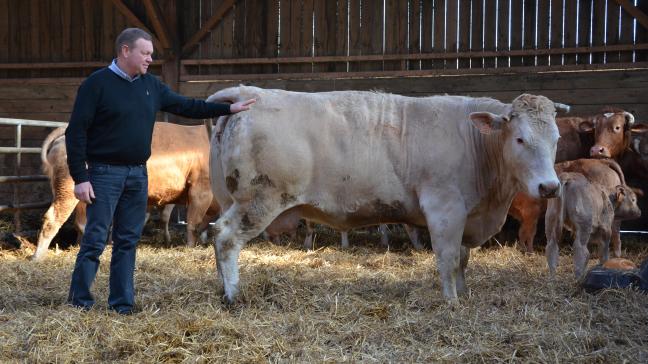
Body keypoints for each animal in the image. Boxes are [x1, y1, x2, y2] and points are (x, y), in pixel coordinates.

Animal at [32, 123, 220, 260]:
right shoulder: (201, 190)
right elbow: (193, 224)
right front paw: (190, 247)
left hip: (83, 195)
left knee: (82, 222)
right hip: (68, 188)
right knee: (52, 218)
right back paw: (37, 257)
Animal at [209, 86, 568, 302]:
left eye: (557, 138)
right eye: (520, 139)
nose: (549, 187)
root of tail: (249, 91)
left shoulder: (467, 214)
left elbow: (463, 259)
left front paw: (464, 295)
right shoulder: (445, 208)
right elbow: (448, 258)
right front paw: (451, 301)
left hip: (233, 200)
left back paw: (222, 287)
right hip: (258, 201)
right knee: (226, 238)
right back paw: (233, 295)